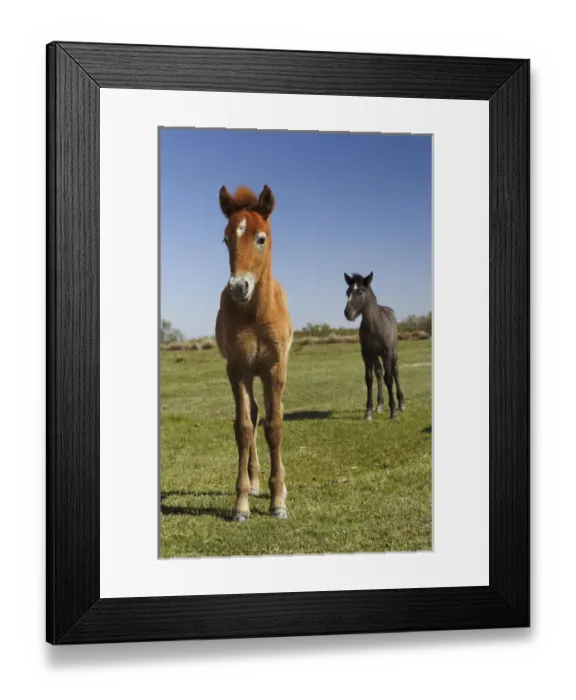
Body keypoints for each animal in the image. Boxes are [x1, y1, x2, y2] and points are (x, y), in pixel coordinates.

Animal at [343, 272, 405, 421]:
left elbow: (389, 378)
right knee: (379, 373)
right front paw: (368, 412)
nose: (348, 313)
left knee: (395, 372)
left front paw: (393, 411)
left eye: (360, 291)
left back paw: (401, 404)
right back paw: (379, 405)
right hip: (376, 356)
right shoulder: (366, 354)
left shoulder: (386, 352)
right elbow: (369, 379)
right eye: (347, 292)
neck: (374, 326)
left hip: (393, 352)